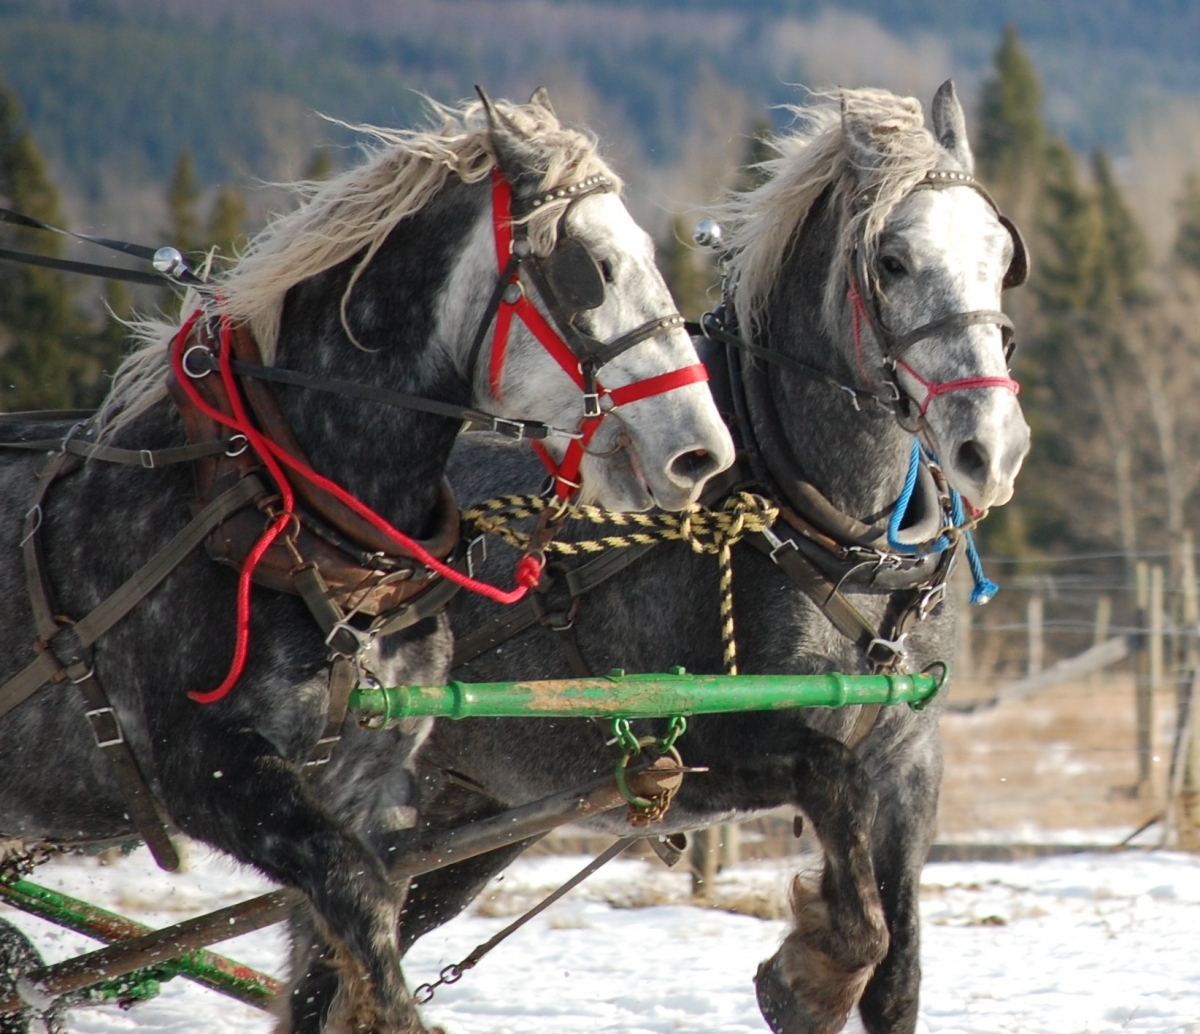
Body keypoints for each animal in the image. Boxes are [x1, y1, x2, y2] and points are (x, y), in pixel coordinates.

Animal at [0, 90, 734, 1033]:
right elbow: (358, 903)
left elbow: (351, 932)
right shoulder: (207, 770)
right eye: (590, 269)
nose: (701, 452)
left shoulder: (370, 783)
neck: (296, 521)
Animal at [401, 82, 1032, 1034]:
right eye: (892, 261)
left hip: (465, 818)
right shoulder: (704, 742)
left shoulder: (910, 765)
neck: (817, 523)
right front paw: (808, 977)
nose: (991, 447)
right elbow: (848, 856)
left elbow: (900, 978)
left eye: (1000, 256)